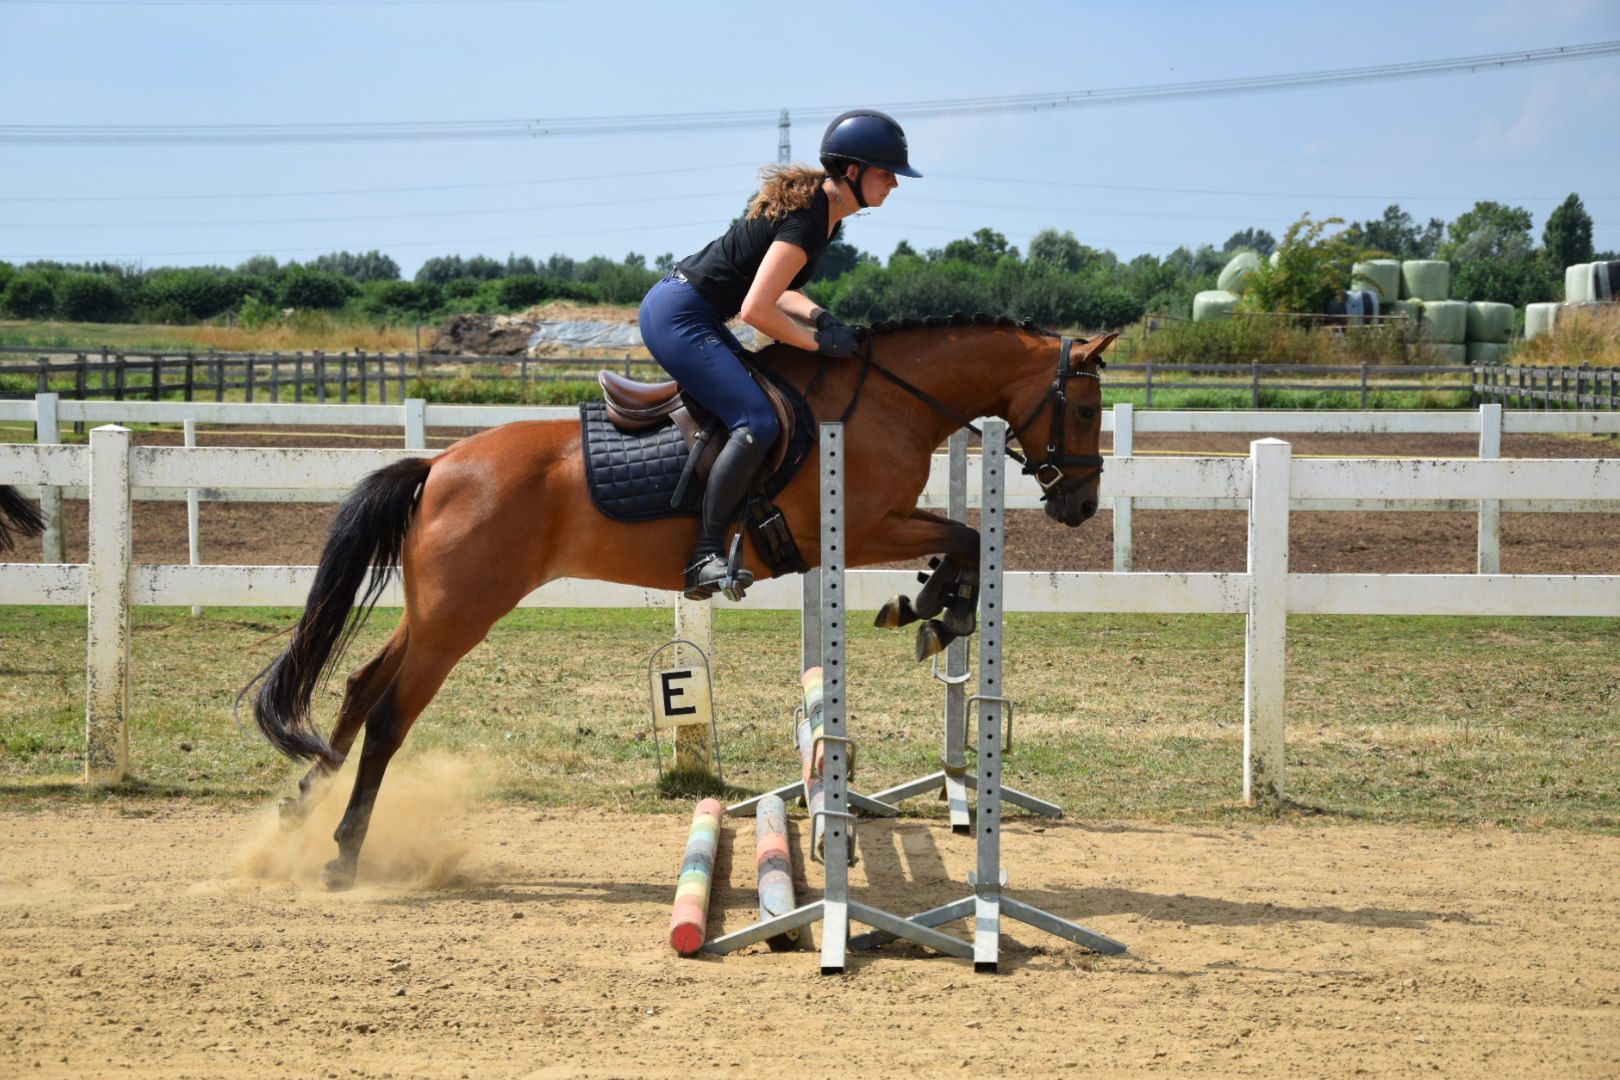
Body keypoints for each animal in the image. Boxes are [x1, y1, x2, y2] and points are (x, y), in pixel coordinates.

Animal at [262, 316, 1112, 889]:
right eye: (1086, 410)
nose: (1080, 506)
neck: (884, 399)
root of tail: (439, 465)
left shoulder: (880, 527)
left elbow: (962, 541)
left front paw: (930, 607)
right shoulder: (867, 527)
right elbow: (964, 538)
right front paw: (936, 609)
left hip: (434, 614)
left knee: (358, 685)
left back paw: (302, 812)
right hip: (458, 619)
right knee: (388, 717)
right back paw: (343, 852)